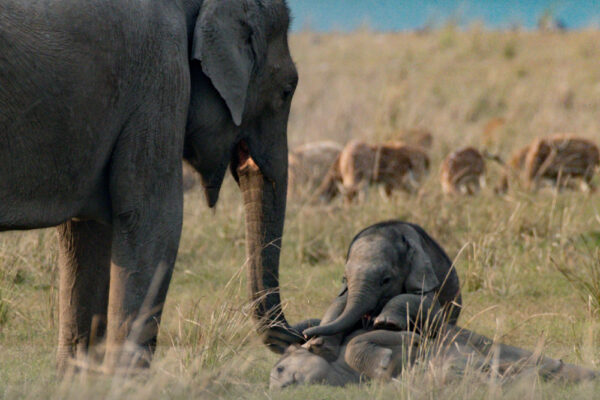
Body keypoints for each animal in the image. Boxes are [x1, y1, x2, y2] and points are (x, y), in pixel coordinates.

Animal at [0, 0, 300, 372]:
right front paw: (125, 378)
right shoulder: (160, 72)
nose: (305, 333)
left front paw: (79, 376)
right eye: (286, 91)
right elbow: (154, 220)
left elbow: (86, 231)